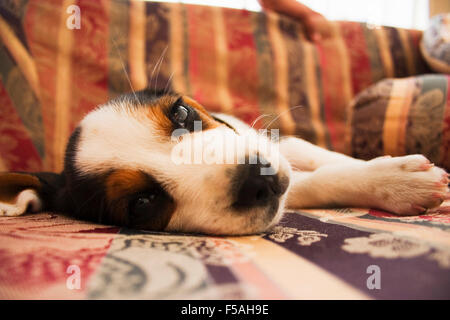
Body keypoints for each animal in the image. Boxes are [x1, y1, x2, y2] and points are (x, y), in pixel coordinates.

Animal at [0, 90, 448, 235]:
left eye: (181, 114)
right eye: (142, 203)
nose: (258, 179)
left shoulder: (266, 138)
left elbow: (318, 155)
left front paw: (387, 169)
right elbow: (317, 180)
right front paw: (397, 182)